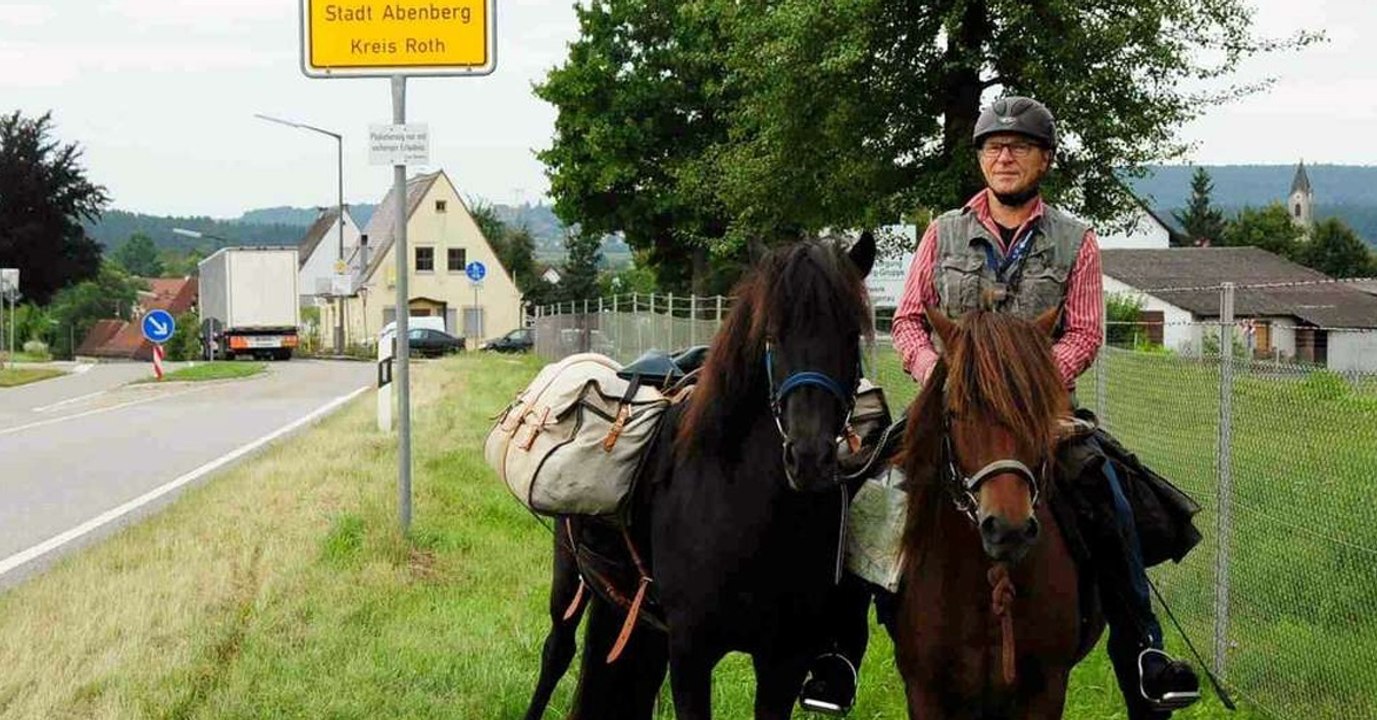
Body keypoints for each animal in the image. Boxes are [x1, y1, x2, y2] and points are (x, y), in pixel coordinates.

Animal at [522, 234, 876, 719]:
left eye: (851, 334)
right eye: (771, 336)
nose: (809, 457)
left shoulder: (784, 660)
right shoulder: (691, 653)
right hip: (569, 576)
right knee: (556, 653)